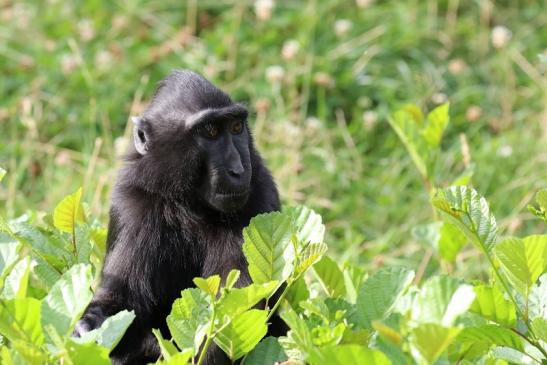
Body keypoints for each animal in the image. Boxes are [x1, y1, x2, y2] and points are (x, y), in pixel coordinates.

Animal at [73, 69, 284, 362]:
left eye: (236, 128)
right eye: (211, 131)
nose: (239, 170)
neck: (188, 204)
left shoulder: (260, 198)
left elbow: (235, 308)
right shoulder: (130, 203)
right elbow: (124, 303)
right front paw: (90, 326)